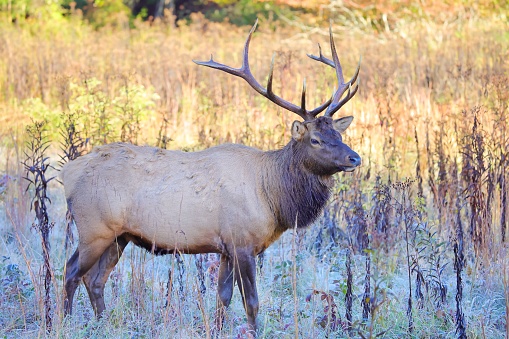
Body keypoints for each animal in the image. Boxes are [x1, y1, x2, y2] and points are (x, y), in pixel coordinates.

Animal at [61, 20, 360, 334]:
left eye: (339, 135)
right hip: (94, 227)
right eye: (315, 140)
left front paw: (216, 328)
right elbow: (251, 302)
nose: (355, 158)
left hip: (120, 235)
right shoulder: (242, 241)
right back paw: (64, 320)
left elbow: (223, 297)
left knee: (95, 279)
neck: (273, 198)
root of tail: (67, 172)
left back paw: (101, 322)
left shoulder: (226, 246)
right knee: (71, 272)